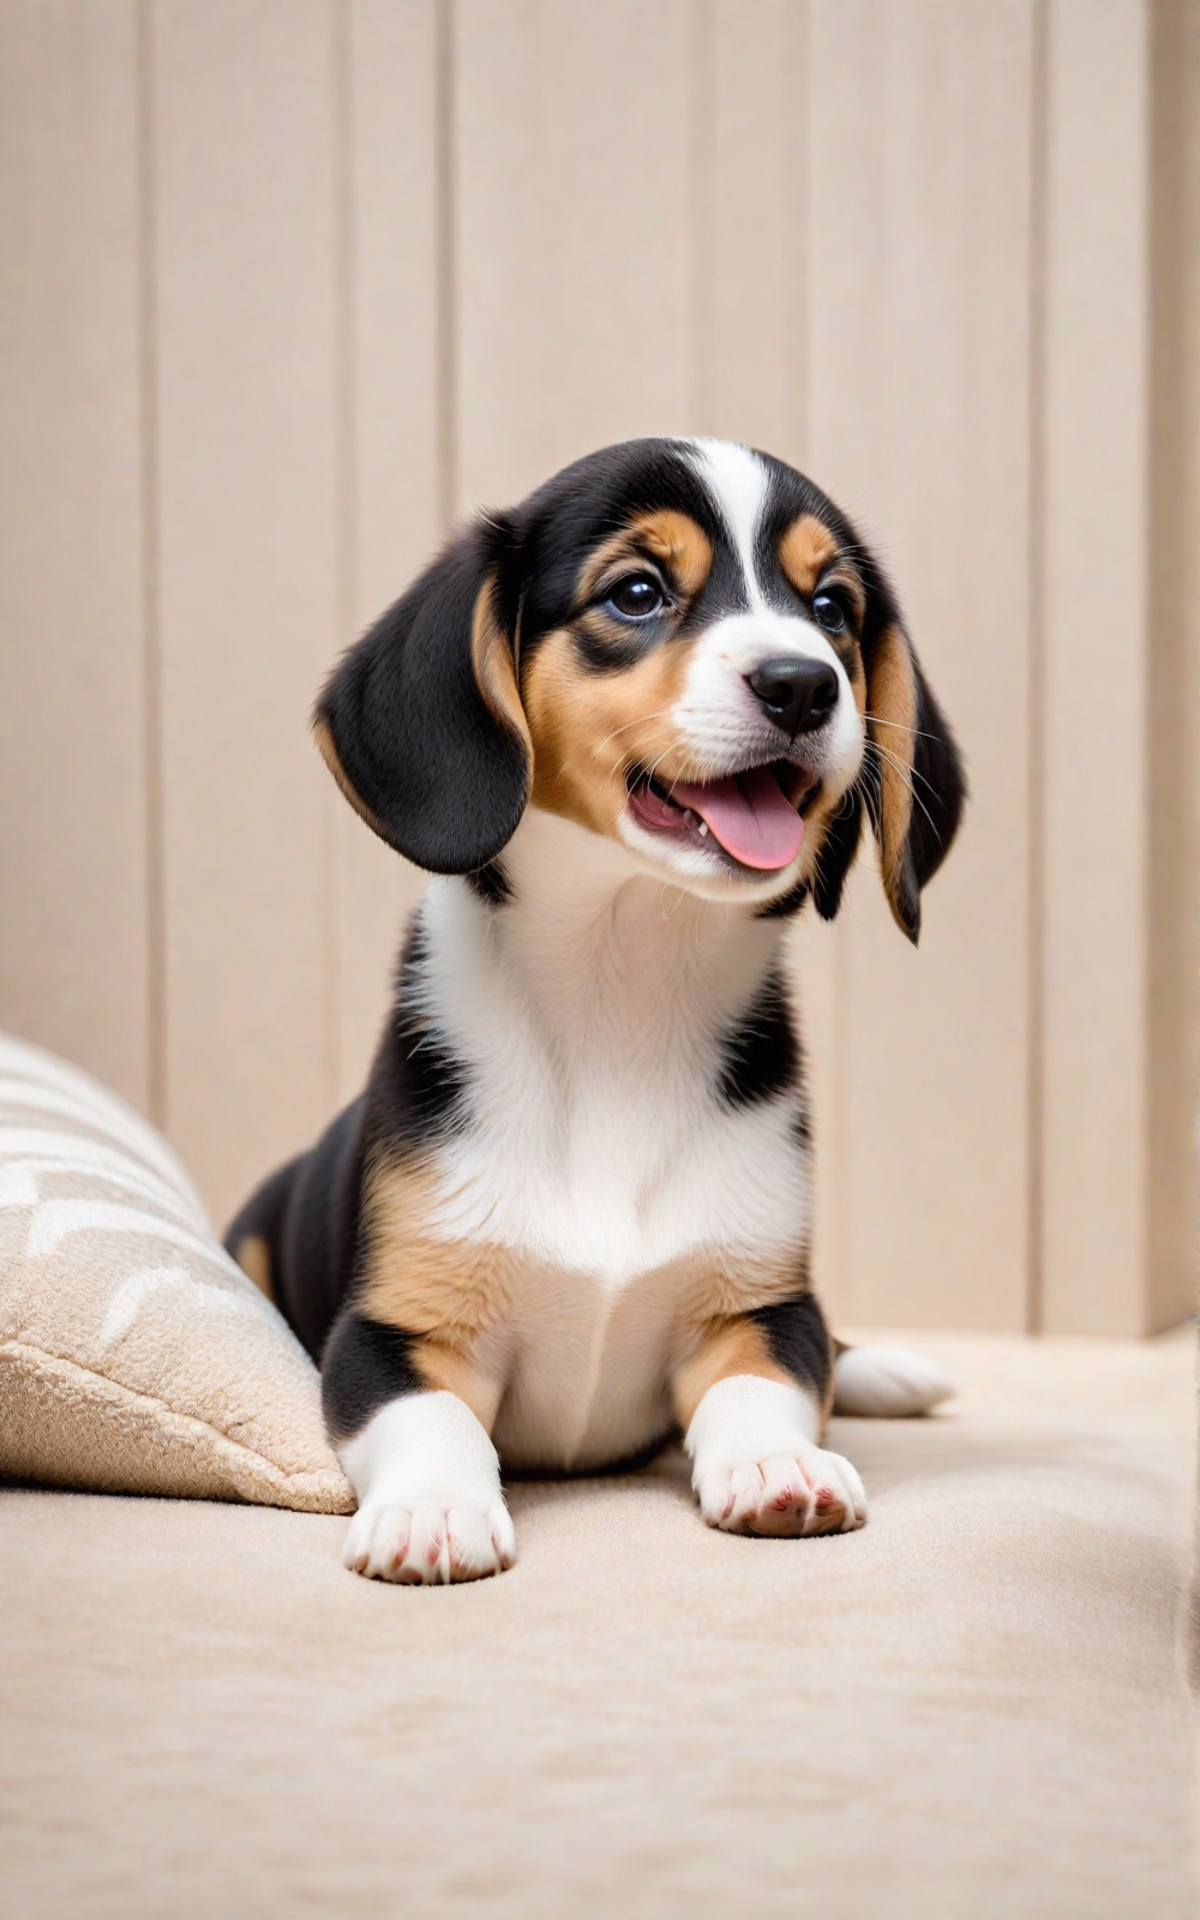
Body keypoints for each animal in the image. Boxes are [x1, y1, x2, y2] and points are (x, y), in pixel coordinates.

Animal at [226, 441, 963, 1582]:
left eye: (832, 607)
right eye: (637, 593)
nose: (805, 682)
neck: (625, 981)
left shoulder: (758, 1301)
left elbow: (769, 1382)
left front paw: (778, 1466)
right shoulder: (392, 1332)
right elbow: (431, 1420)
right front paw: (433, 1512)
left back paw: (886, 1370)